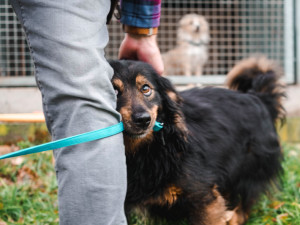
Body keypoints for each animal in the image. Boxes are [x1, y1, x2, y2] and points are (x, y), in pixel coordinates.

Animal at [109, 58, 284, 225]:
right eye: (114, 91)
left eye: (146, 89)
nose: (143, 120)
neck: (145, 150)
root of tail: (258, 98)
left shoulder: (202, 196)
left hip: (244, 177)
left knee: (239, 213)